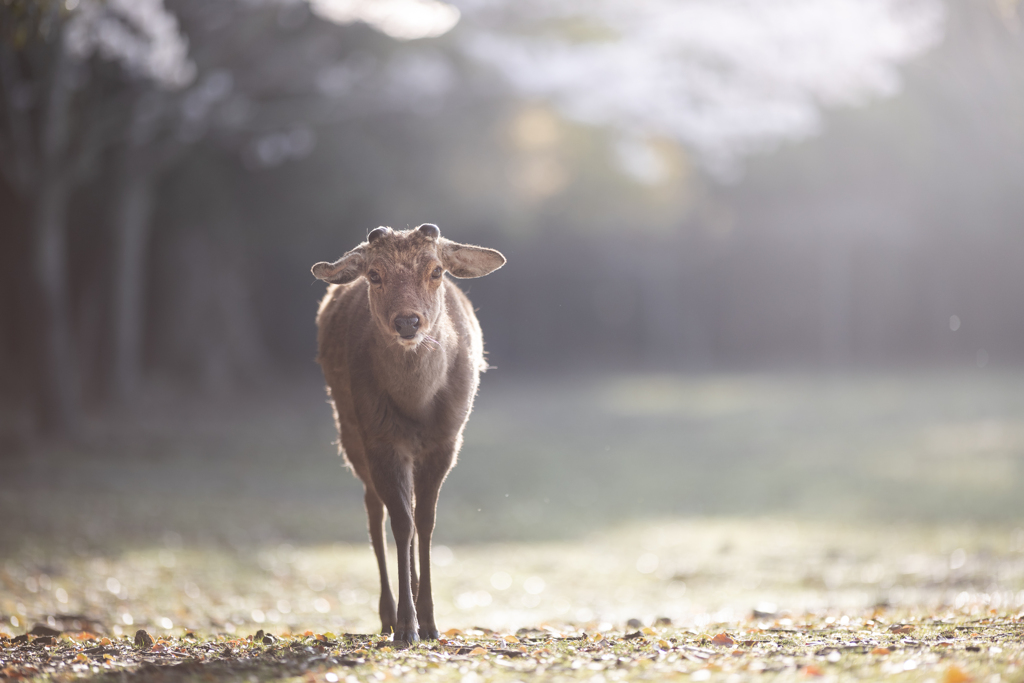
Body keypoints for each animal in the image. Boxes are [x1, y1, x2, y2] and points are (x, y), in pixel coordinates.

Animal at [309, 223, 505, 643]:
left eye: (436, 271)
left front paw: (430, 621)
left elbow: (425, 522)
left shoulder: (446, 440)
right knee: (374, 511)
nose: (407, 322)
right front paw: (405, 626)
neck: (416, 408)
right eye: (374, 274)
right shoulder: (380, 438)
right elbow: (401, 522)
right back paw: (387, 612)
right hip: (350, 430)